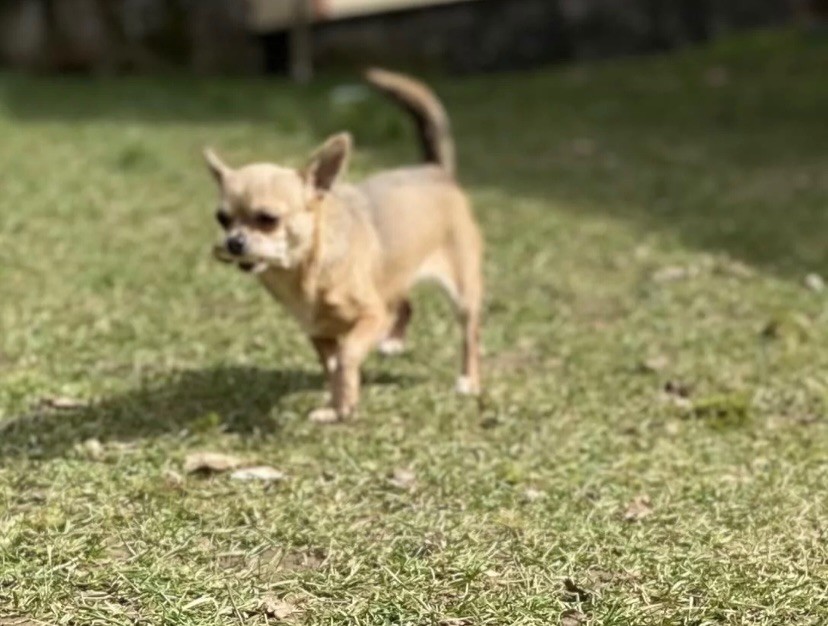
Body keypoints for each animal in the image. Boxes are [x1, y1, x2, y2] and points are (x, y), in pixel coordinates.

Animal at [203, 68, 482, 422]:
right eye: (222, 219)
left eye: (268, 219)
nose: (233, 242)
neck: (305, 273)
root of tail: (435, 170)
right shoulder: (318, 332)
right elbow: (333, 364)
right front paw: (338, 402)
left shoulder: (370, 316)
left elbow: (347, 354)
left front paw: (343, 403)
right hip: (394, 274)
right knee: (403, 304)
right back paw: (393, 342)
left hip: (462, 292)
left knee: (469, 335)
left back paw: (469, 380)